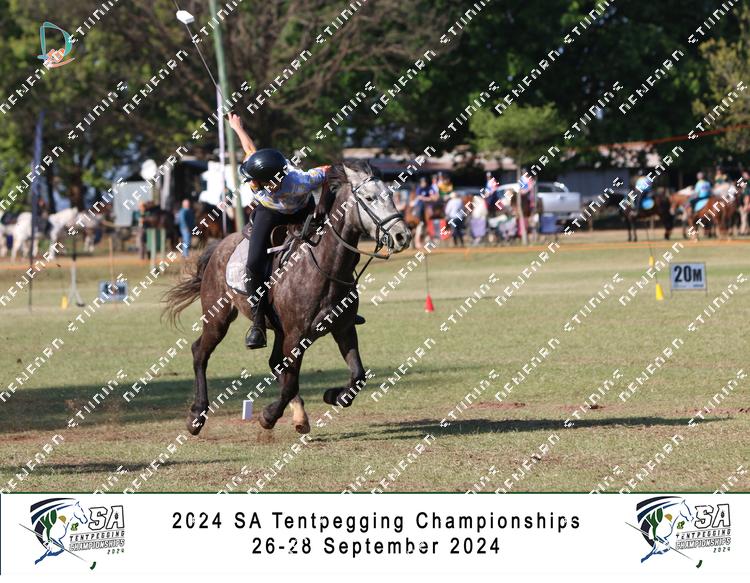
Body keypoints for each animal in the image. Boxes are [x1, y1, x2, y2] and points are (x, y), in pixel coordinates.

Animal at [162, 160, 411, 435]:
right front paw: (268, 416)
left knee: (275, 363)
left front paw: (333, 395)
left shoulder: (343, 328)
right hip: (218, 317)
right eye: (368, 198)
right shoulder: (296, 335)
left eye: (391, 195)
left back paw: (299, 415)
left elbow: (357, 375)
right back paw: (197, 414)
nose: (403, 236)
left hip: (277, 329)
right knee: (200, 352)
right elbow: (291, 381)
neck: (326, 268)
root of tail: (218, 246)